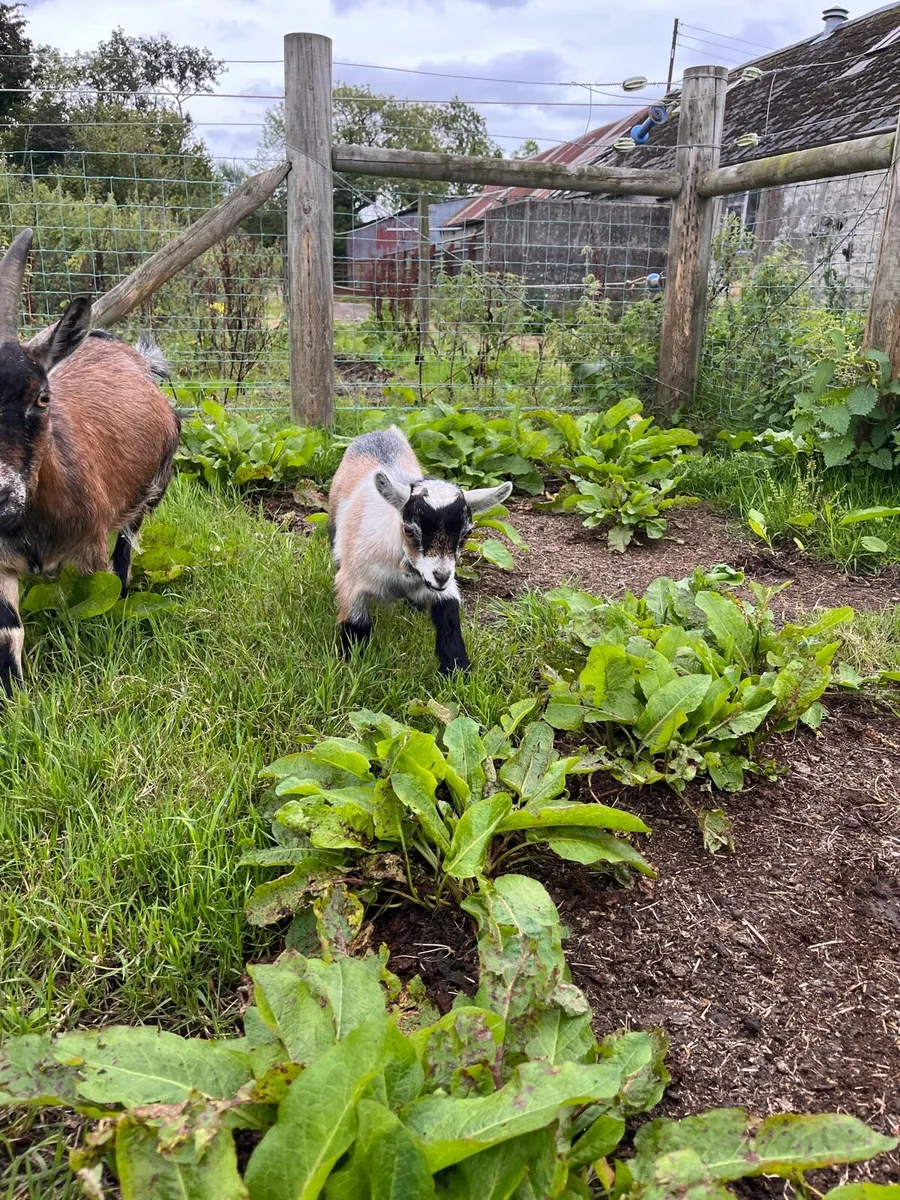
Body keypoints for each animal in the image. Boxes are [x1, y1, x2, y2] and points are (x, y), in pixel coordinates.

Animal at [0, 228, 181, 696]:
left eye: (42, 397)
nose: (0, 500)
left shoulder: (89, 552)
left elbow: (97, 597)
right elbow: (8, 630)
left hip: (152, 486)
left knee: (126, 548)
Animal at [328, 426, 512, 673]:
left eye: (467, 534)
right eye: (408, 530)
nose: (441, 576)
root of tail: (381, 432)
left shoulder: (443, 588)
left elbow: (449, 621)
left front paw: (457, 672)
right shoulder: (352, 585)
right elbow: (357, 625)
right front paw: (351, 666)